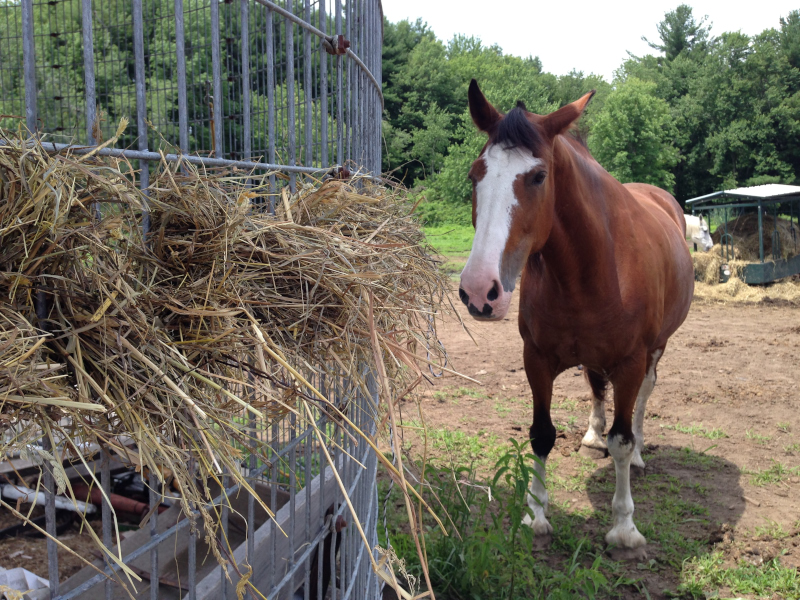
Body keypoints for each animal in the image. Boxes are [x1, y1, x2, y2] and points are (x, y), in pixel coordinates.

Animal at [460, 79, 696, 556]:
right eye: (476, 175)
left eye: (538, 176)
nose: (479, 291)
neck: (592, 265)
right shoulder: (536, 359)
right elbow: (541, 434)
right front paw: (536, 515)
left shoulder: (631, 361)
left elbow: (621, 439)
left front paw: (624, 527)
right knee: (595, 386)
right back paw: (591, 437)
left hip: (656, 350)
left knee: (644, 398)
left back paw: (639, 454)